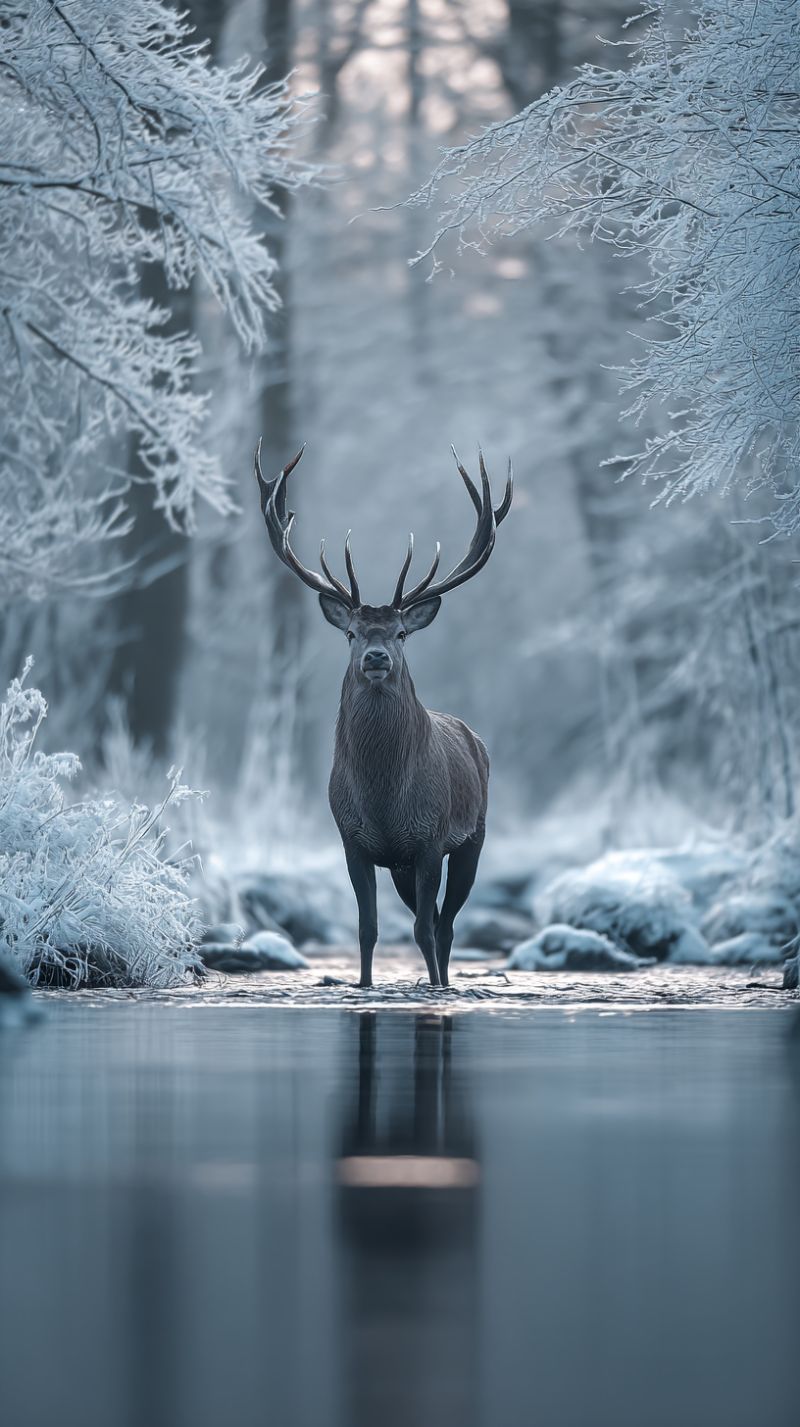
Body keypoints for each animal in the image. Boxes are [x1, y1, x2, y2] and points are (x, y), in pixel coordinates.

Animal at [254, 441, 513, 990]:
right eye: (351, 633)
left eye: (401, 633)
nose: (376, 657)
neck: (383, 798)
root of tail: (474, 738)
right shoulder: (353, 840)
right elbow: (367, 928)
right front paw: (365, 986)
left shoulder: (431, 838)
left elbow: (424, 930)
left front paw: (432, 989)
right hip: (400, 867)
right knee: (432, 919)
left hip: (474, 835)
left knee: (445, 923)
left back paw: (446, 981)